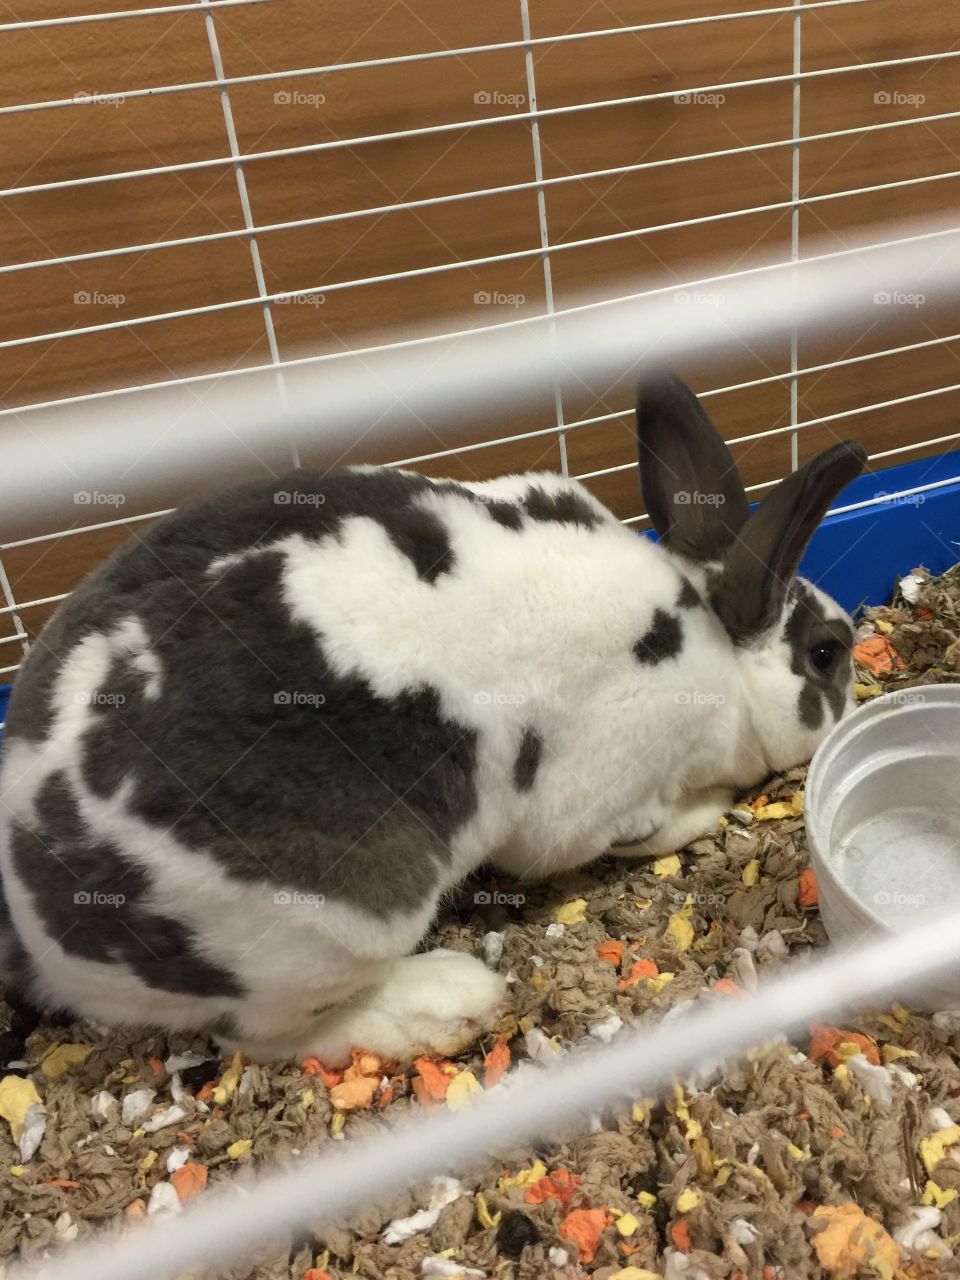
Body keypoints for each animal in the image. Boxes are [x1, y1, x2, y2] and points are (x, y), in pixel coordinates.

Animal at [0, 371, 865, 1066]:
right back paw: (446, 1003)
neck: (711, 641)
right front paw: (709, 805)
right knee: (264, 1036)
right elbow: (646, 825)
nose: (853, 685)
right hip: (326, 931)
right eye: (825, 653)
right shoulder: (595, 807)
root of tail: (36, 936)